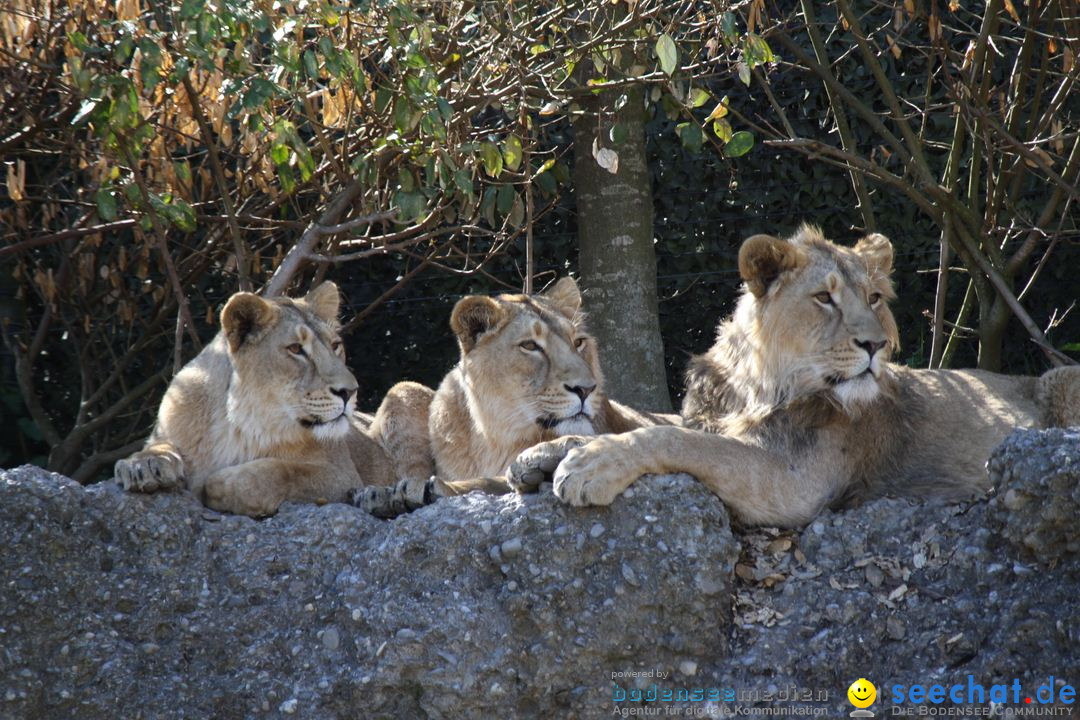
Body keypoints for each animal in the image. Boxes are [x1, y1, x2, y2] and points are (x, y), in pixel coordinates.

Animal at [354, 278, 673, 518]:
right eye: (530, 346)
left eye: (579, 342)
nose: (586, 389)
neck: (495, 437)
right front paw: (386, 493)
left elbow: (490, 481)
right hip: (403, 389)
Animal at [516, 225, 1080, 528]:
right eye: (825, 297)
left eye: (874, 298)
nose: (876, 344)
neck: (754, 387)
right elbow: (646, 423)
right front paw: (546, 452)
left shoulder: (794, 481)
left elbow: (673, 439)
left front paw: (591, 465)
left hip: (1062, 378)